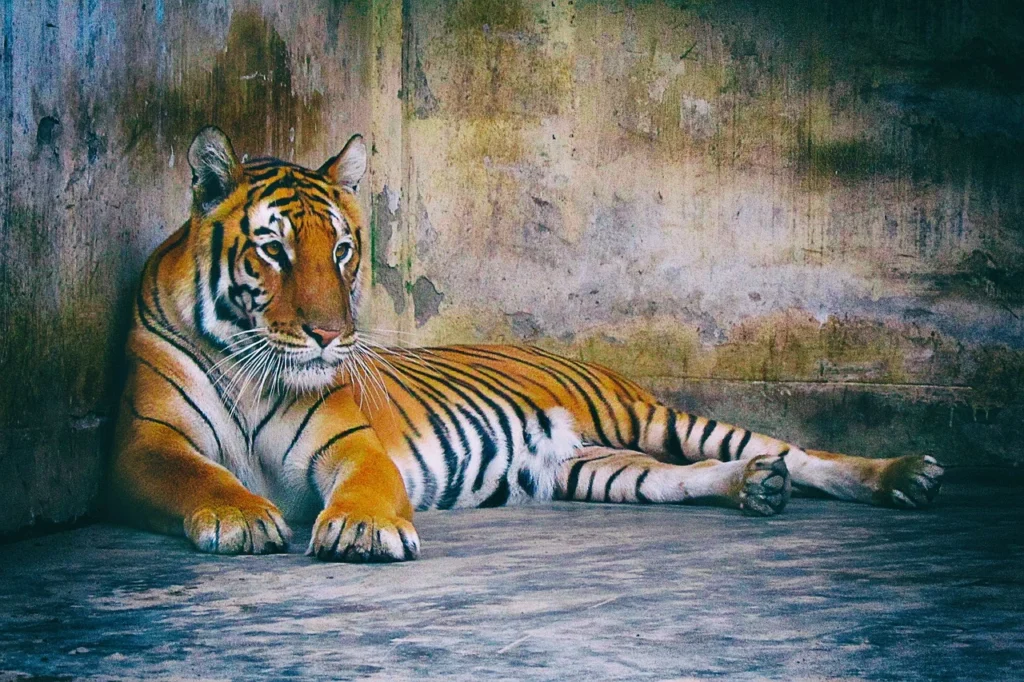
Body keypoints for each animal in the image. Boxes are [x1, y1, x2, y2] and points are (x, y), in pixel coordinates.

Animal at [107, 125, 945, 562]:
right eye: (274, 250)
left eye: (342, 250)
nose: (332, 335)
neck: (252, 365)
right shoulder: (144, 446)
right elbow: (197, 475)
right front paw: (244, 515)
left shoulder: (350, 441)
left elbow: (368, 484)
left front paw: (364, 529)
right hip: (595, 468)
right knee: (682, 477)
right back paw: (753, 488)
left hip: (651, 417)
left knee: (794, 449)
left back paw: (904, 475)